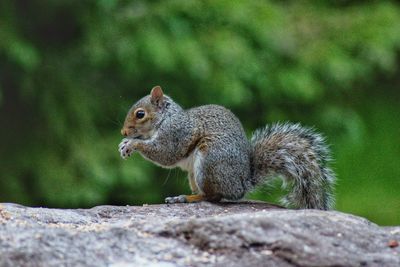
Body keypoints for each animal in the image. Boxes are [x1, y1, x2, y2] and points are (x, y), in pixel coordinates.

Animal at [118, 87, 334, 210]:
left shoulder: (176, 133)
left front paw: (132, 144)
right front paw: (124, 144)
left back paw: (186, 198)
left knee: (212, 197)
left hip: (209, 163)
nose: (123, 132)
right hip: (195, 174)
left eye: (140, 114)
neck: (166, 118)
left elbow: (165, 154)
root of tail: (242, 184)